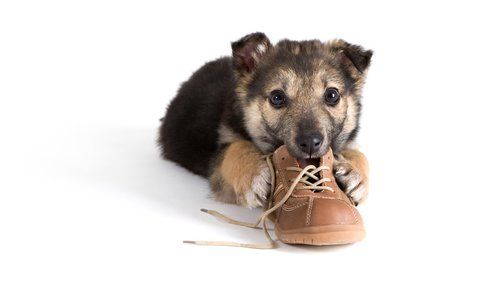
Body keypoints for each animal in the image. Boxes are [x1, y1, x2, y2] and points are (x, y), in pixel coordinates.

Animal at [159, 32, 374, 208]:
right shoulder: (221, 166)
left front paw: (356, 175)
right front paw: (254, 175)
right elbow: (237, 147)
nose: (310, 143)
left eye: (332, 95)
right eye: (277, 97)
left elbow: (359, 154)